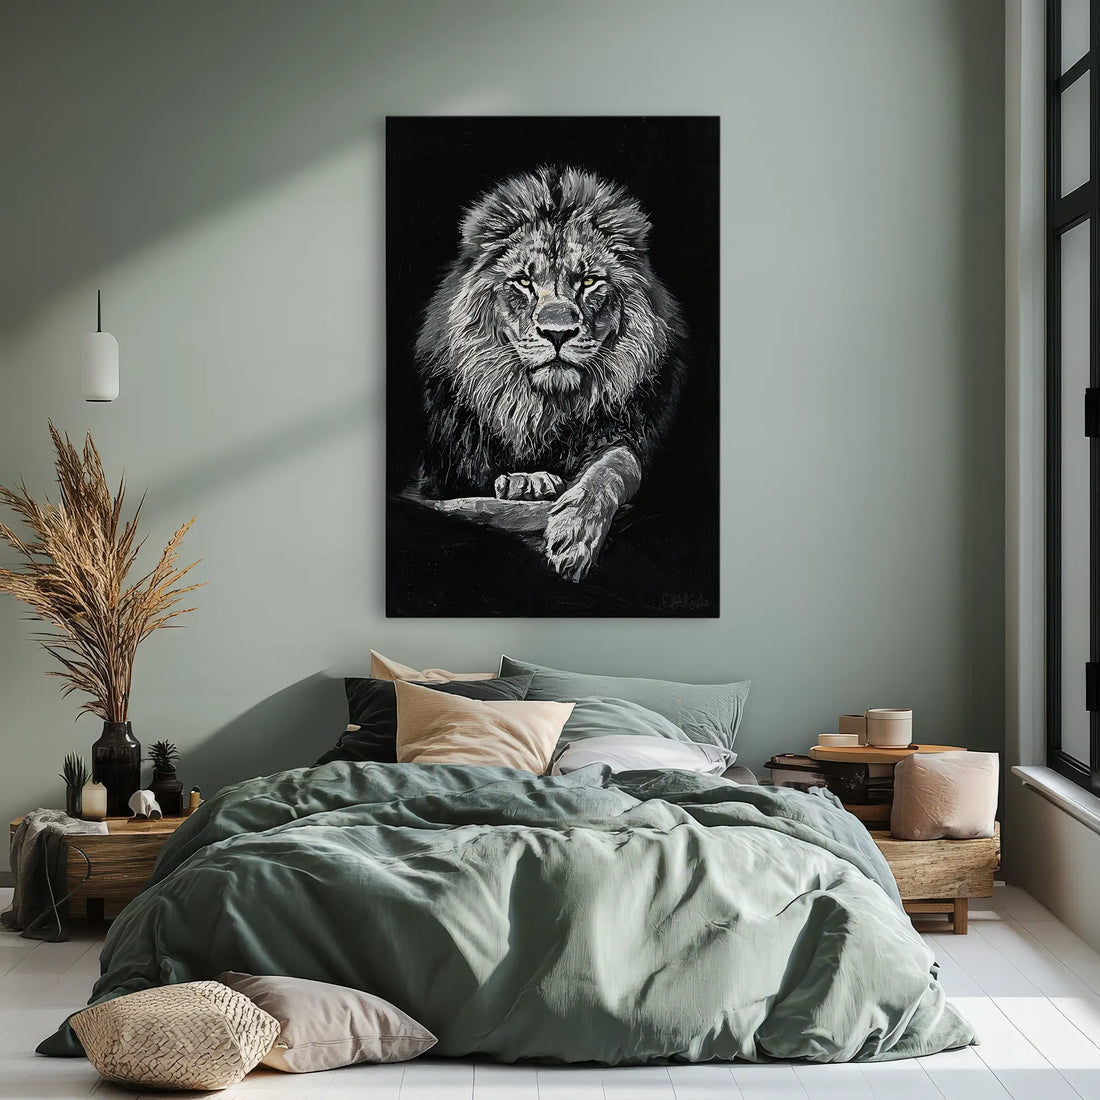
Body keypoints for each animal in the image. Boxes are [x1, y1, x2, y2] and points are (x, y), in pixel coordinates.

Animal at [411, 165, 686, 583]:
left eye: (588, 281)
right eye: (524, 282)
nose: (558, 333)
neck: (543, 407)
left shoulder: (628, 434)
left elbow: (615, 466)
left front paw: (574, 531)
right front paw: (530, 485)